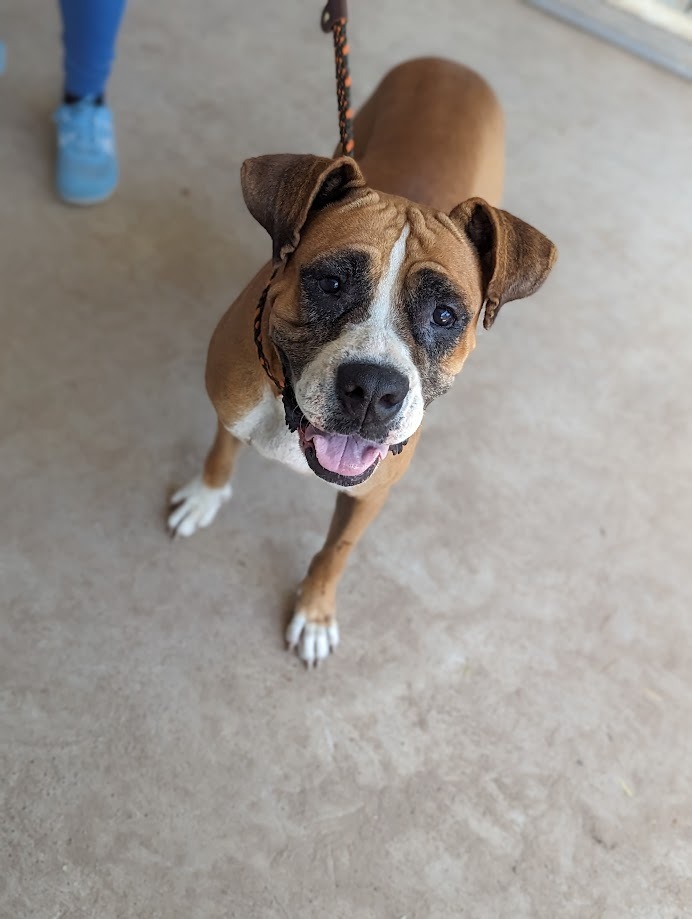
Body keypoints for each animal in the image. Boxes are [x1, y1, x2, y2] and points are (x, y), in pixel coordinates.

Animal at [168, 57, 556, 664]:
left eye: (446, 315)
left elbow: (336, 550)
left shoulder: (371, 493)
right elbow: (219, 456)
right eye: (330, 283)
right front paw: (205, 496)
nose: (373, 388)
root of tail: (450, 63)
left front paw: (314, 611)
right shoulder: (229, 411)